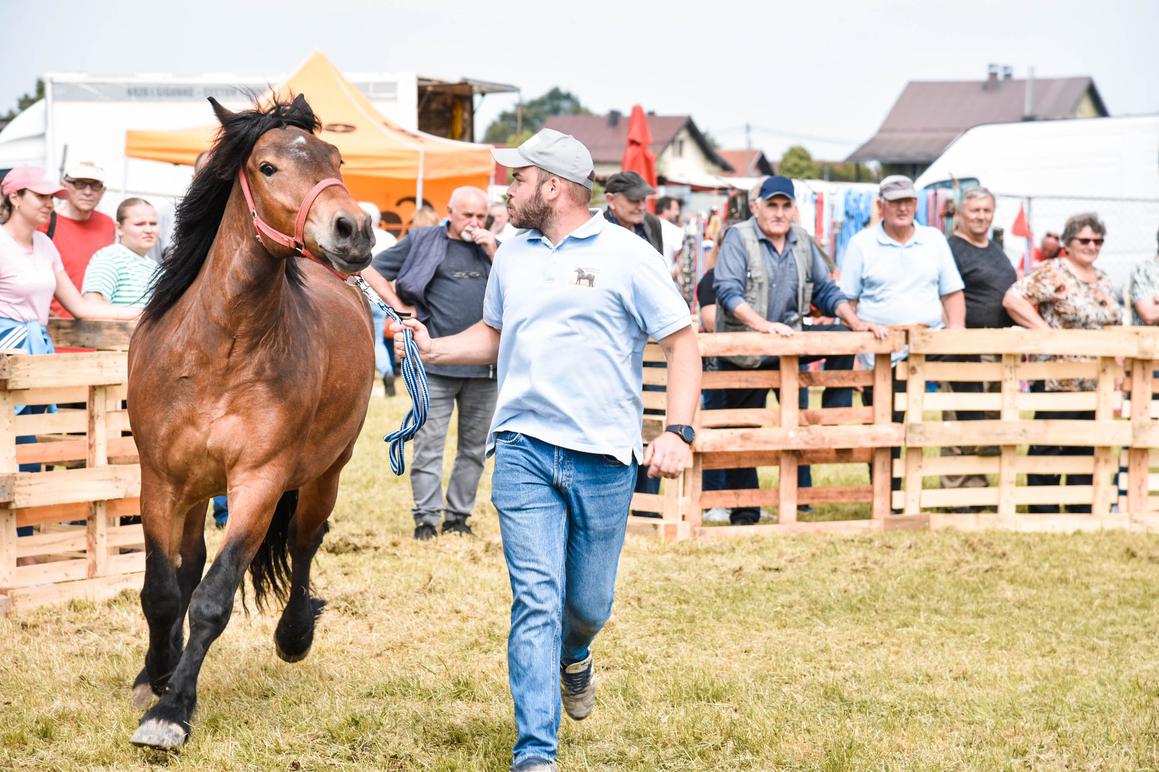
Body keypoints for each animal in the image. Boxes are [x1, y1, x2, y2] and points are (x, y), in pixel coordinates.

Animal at [130, 94, 375, 746]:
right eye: (267, 166)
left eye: (336, 157)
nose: (355, 229)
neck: (222, 349)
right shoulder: (160, 481)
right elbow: (163, 590)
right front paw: (156, 676)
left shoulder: (259, 483)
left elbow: (212, 598)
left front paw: (171, 711)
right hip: (195, 490)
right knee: (187, 566)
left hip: (324, 475)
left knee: (305, 541)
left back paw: (294, 635)